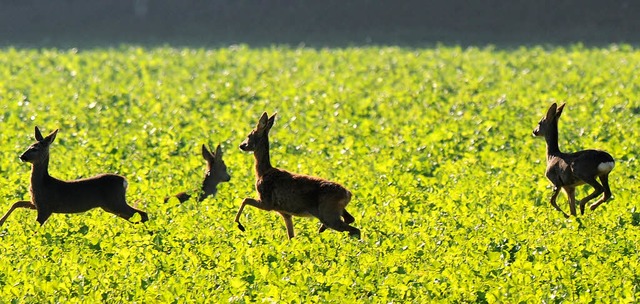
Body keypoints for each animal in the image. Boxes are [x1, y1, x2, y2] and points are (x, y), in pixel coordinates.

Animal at [0, 126, 149, 226]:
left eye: (35, 148)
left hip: (115, 201)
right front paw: (1, 222)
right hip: (110, 205)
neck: (42, 184)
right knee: (137, 216)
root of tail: (124, 181)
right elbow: (17, 202)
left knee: (142, 214)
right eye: (29, 145)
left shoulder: (46, 207)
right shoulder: (36, 203)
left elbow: (36, 227)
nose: (22, 156)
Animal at [232, 112, 360, 240]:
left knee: (354, 229)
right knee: (350, 219)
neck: (263, 172)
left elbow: (245, 199)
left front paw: (239, 225)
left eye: (249, 135)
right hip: (335, 210)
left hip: (328, 212)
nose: (241, 145)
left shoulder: (266, 201)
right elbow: (291, 236)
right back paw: (323, 230)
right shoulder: (285, 213)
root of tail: (348, 194)